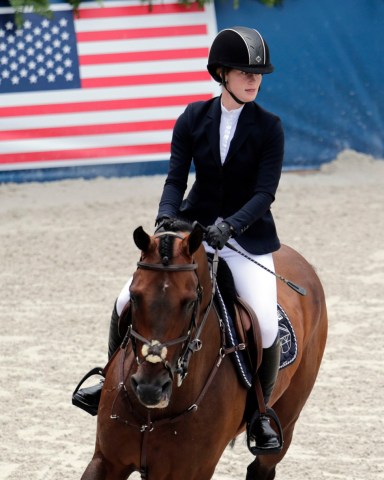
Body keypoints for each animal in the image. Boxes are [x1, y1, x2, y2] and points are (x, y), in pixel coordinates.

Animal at [80, 221, 328, 480]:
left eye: (190, 302)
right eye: (135, 296)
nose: (150, 389)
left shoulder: (193, 472)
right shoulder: (106, 461)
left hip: (287, 422)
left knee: (263, 466)